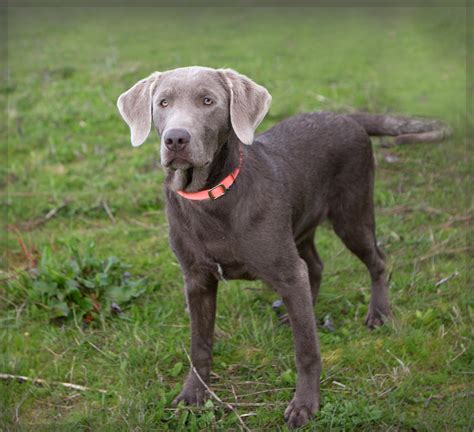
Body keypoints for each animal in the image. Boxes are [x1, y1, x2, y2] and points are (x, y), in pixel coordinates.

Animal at [116, 66, 450, 428]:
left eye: (208, 101)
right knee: (315, 266)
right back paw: (301, 313)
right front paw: (193, 395)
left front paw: (305, 404)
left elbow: (306, 350)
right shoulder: (196, 280)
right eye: (163, 103)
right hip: (301, 226)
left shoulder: (287, 272)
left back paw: (378, 313)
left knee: (377, 260)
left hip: (352, 216)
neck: (211, 198)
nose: (176, 139)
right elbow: (199, 344)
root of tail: (345, 116)